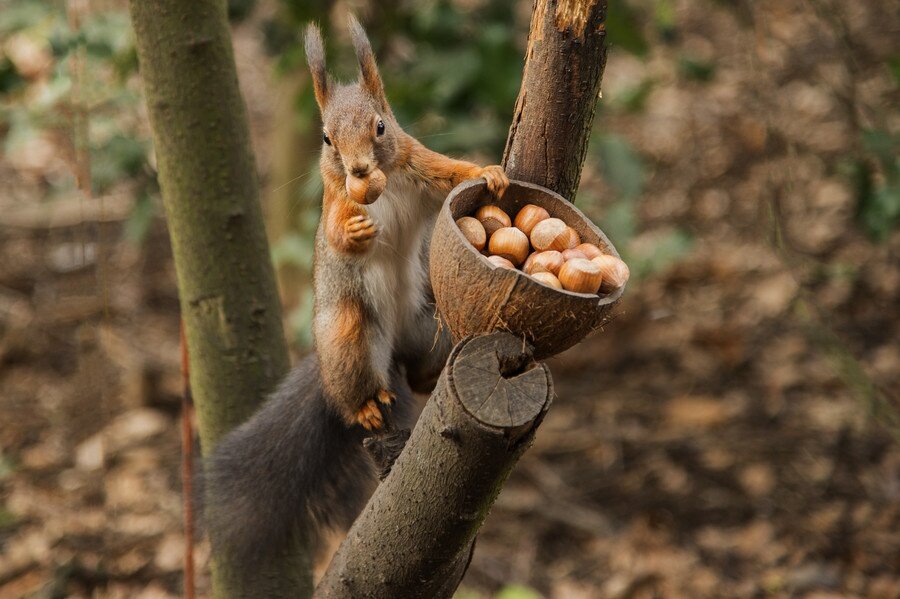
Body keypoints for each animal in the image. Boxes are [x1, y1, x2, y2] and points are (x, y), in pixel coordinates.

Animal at [206, 15, 506, 576]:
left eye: (381, 126)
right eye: (326, 138)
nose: (360, 170)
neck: (382, 186)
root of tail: (393, 349)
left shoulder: (419, 165)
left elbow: (451, 173)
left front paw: (488, 172)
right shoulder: (333, 201)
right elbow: (336, 232)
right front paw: (356, 233)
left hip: (428, 327)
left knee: (419, 370)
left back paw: (428, 375)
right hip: (349, 334)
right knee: (352, 390)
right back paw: (365, 405)